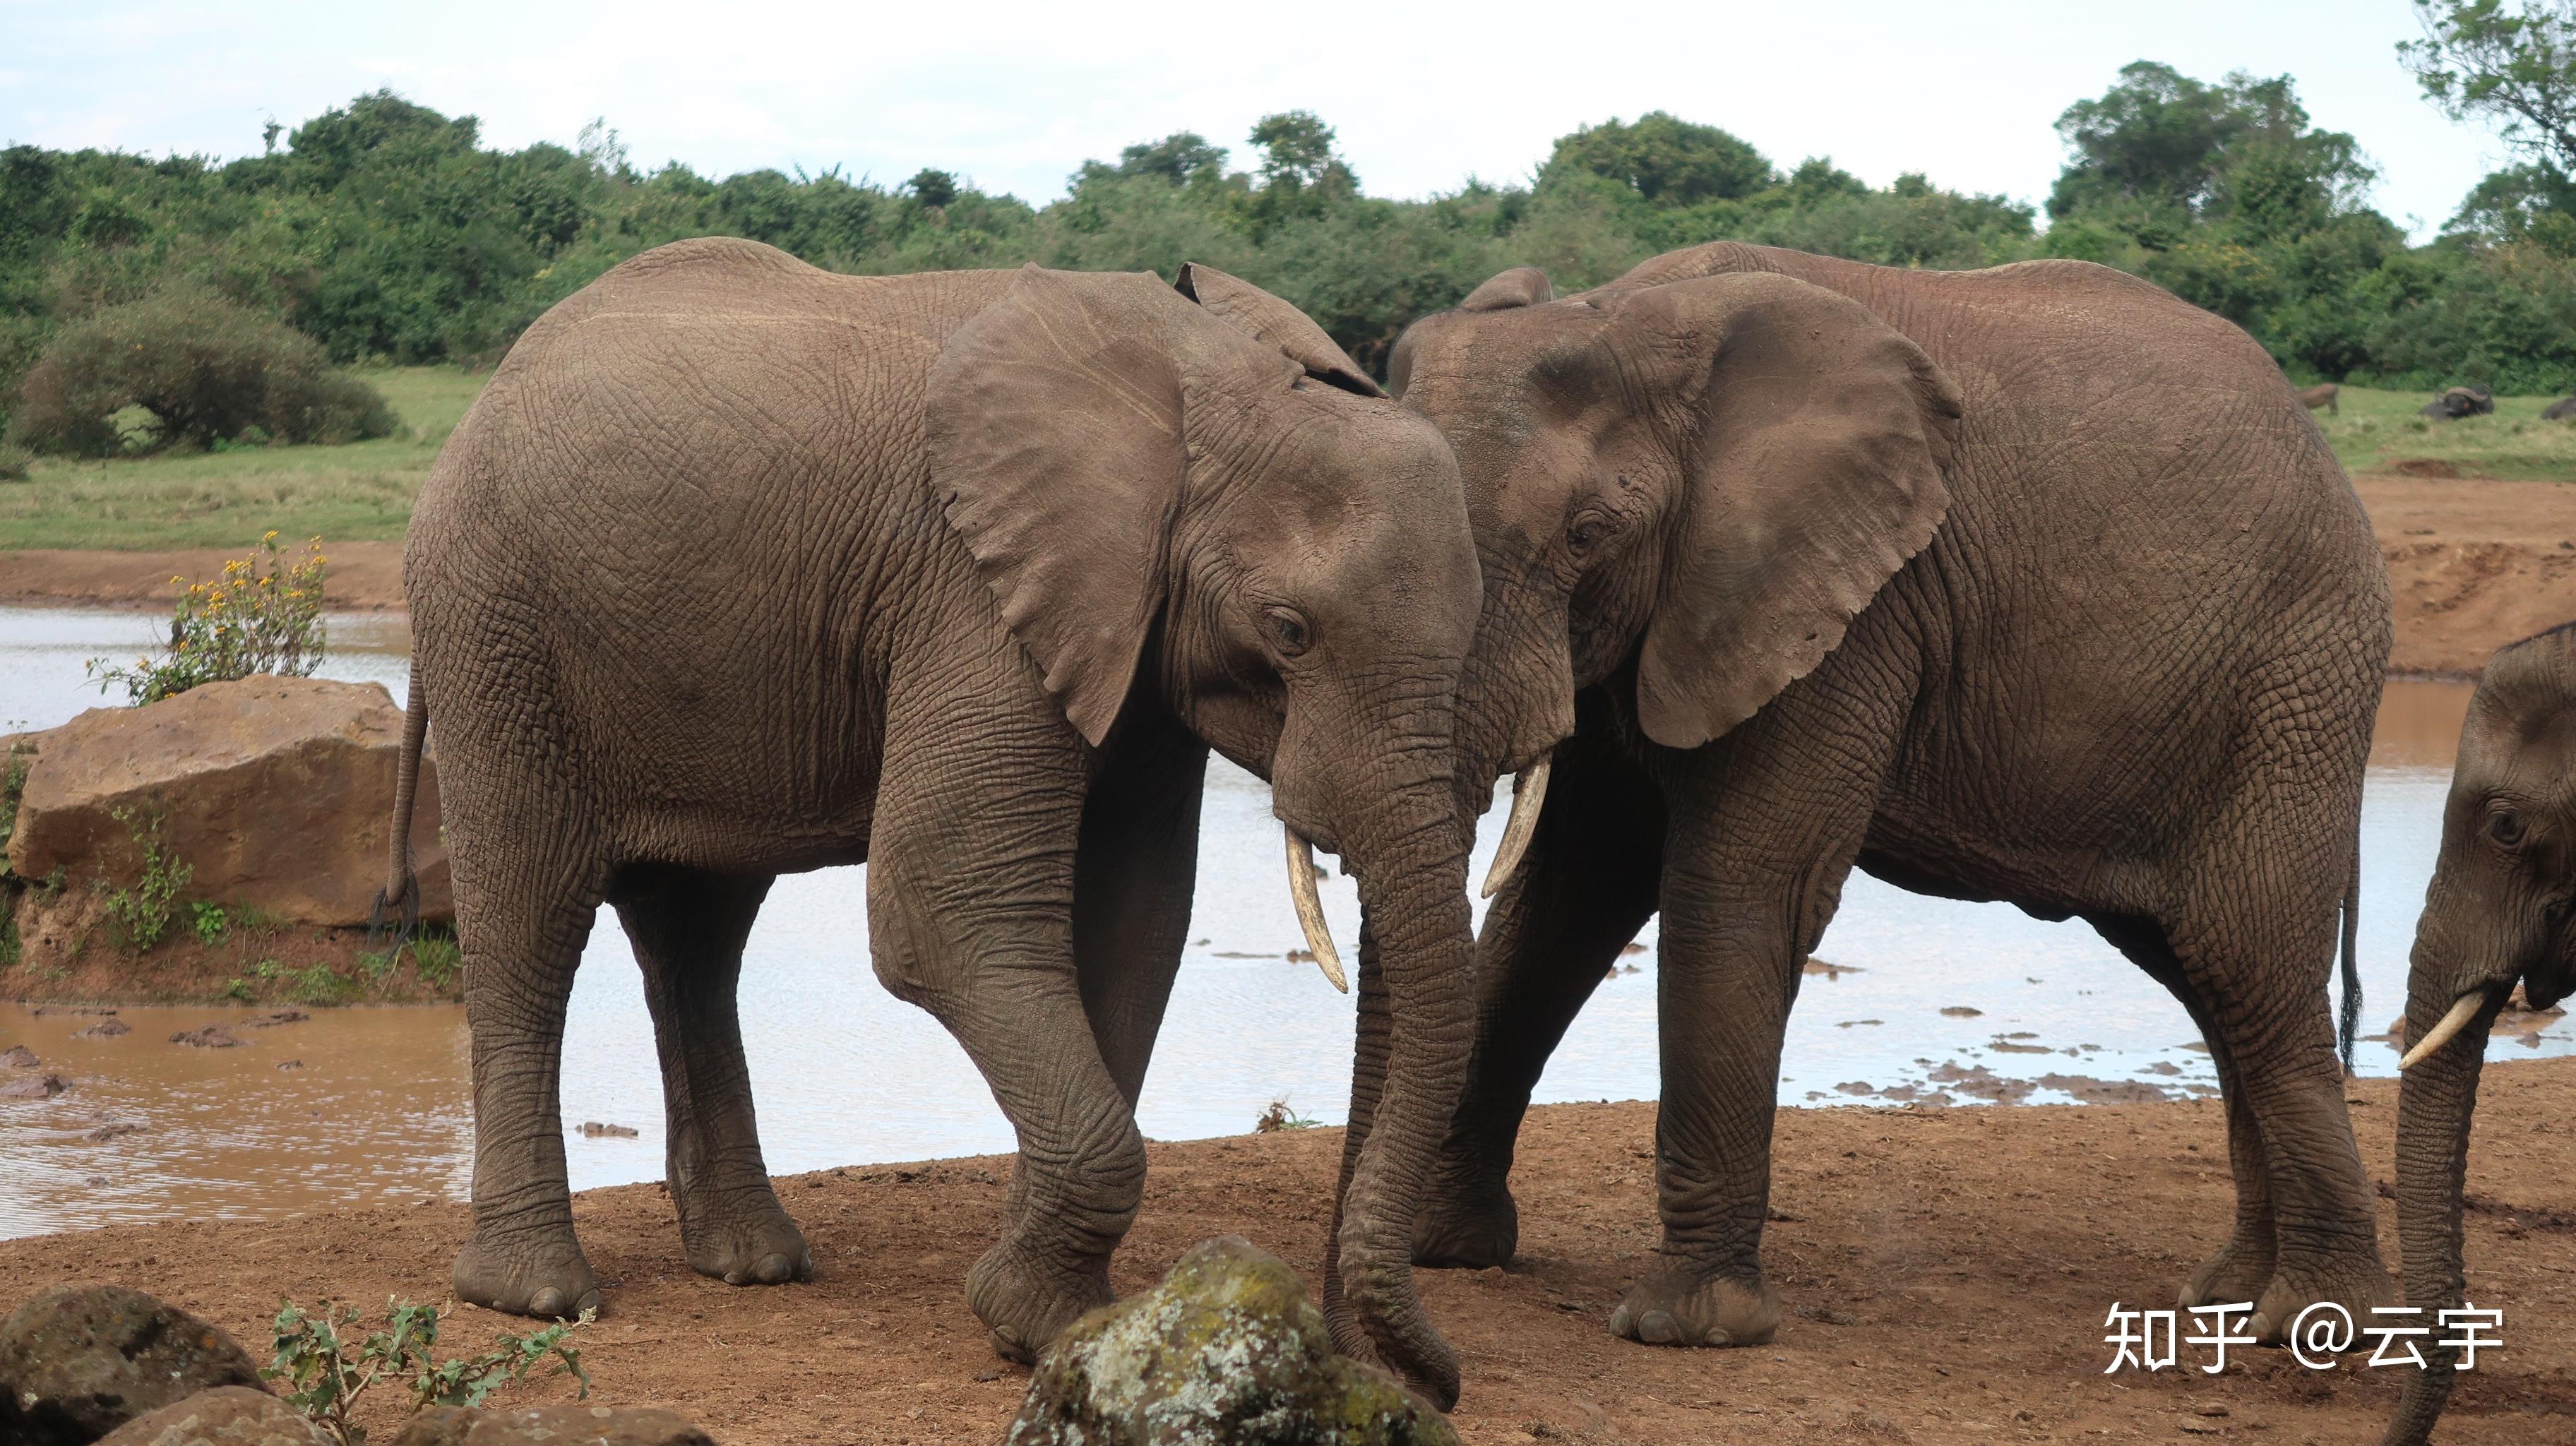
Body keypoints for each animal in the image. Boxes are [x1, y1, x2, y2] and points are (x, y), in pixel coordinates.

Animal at [371, 239, 1484, 1402]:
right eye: (1289, 631)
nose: (1422, 1380)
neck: (1205, 383)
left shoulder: (1124, 627)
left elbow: (1134, 920)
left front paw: (1048, 1318)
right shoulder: (972, 591)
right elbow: (942, 910)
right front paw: (1030, 1324)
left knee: (698, 936)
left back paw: (753, 1264)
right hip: (495, 623)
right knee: (531, 916)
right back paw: (537, 1294)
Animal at [1390, 239, 2390, 1350]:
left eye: (1585, 533)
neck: (1631, 314)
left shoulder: (1850, 605)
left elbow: (1737, 891)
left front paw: (1687, 1329)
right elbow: (1566, 898)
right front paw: (1444, 1251)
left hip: (2294, 684)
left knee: (2251, 962)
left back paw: (2311, 1322)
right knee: (2211, 981)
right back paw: (2228, 1301)